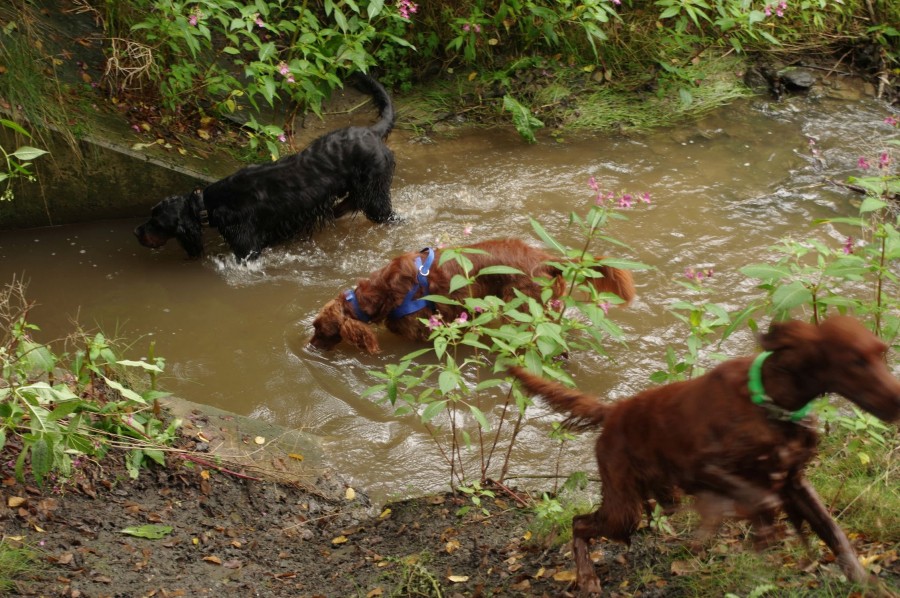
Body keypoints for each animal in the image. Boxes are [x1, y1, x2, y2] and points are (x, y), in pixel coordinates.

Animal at [134, 73, 398, 260]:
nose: (136, 232)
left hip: (375, 192)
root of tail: (371, 132)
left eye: (156, 223)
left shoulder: (246, 246)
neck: (209, 204)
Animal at [309, 238, 636, 354]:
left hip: (524, 307)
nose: (310, 346)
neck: (381, 292)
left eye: (319, 328)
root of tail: (546, 259)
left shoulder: (421, 327)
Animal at [509, 315, 900, 595]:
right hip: (625, 508)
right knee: (579, 524)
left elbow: (833, 531)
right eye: (855, 361)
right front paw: (764, 531)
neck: (771, 400)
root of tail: (615, 410)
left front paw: (865, 581)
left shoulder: (795, 481)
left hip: (657, 498)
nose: (898, 400)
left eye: (881, 352)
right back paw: (588, 579)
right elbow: (763, 498)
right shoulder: (702, 466)